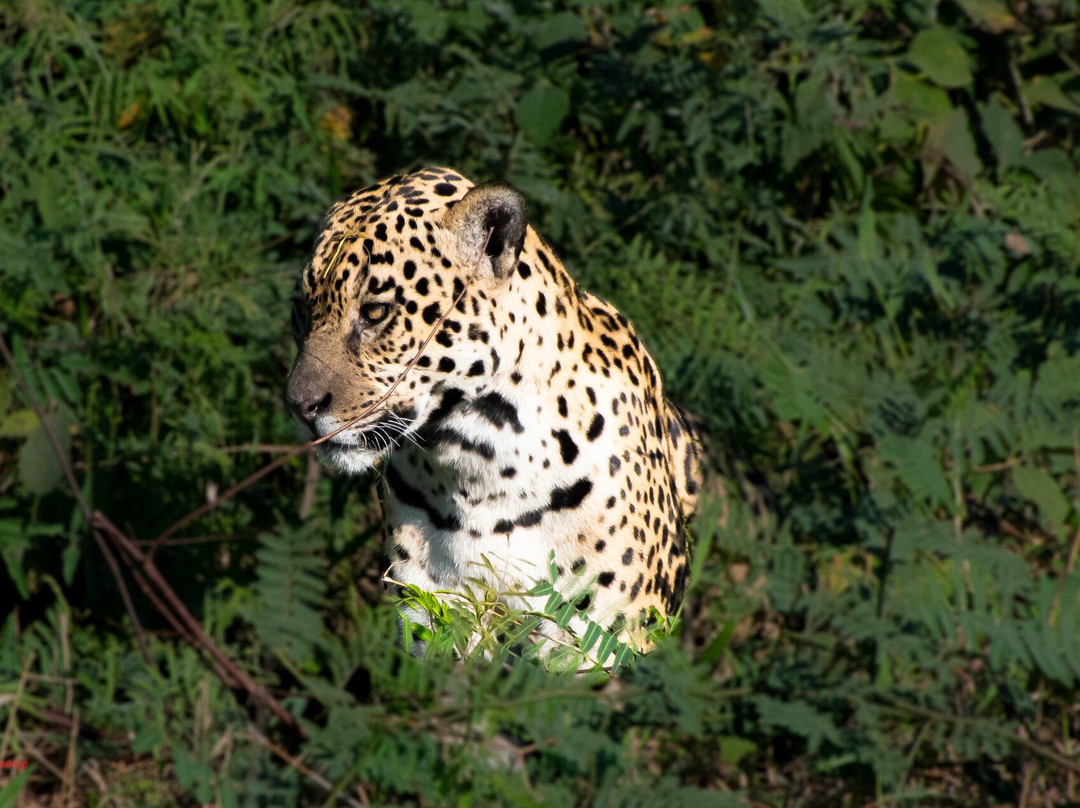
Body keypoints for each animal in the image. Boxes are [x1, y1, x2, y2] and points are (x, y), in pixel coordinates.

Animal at [286, 167, 702, 656]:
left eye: (375, 312)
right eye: (300, 311)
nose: (299, 405)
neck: (481, 467)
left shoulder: (600, 634)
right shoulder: (433, 611)